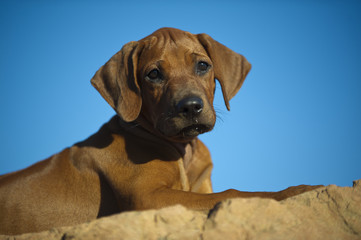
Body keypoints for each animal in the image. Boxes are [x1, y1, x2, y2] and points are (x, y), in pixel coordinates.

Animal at [0, 27, 320, 234]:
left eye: (203, 65)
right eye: (153, 74)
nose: (190, 107)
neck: (182, 149)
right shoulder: (148, 199)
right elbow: (235, 193)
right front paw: (298, 190)